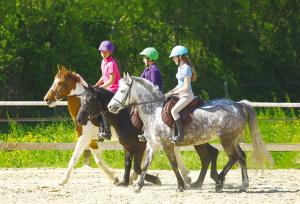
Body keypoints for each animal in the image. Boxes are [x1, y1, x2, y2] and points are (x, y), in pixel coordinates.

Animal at [108, 74, 274, 192]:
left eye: (122, 90)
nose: (110, 107)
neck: (153, 111)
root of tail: (239, 105)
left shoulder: (166, 144)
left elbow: (173, 164)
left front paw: (180, 186)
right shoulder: (152, 144)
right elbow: (145, 165)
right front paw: (138, 186)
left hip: (226, 139)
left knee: (232, 157)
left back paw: (219, 182)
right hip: (233, 140)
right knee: (241, 157)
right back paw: (243, 185)